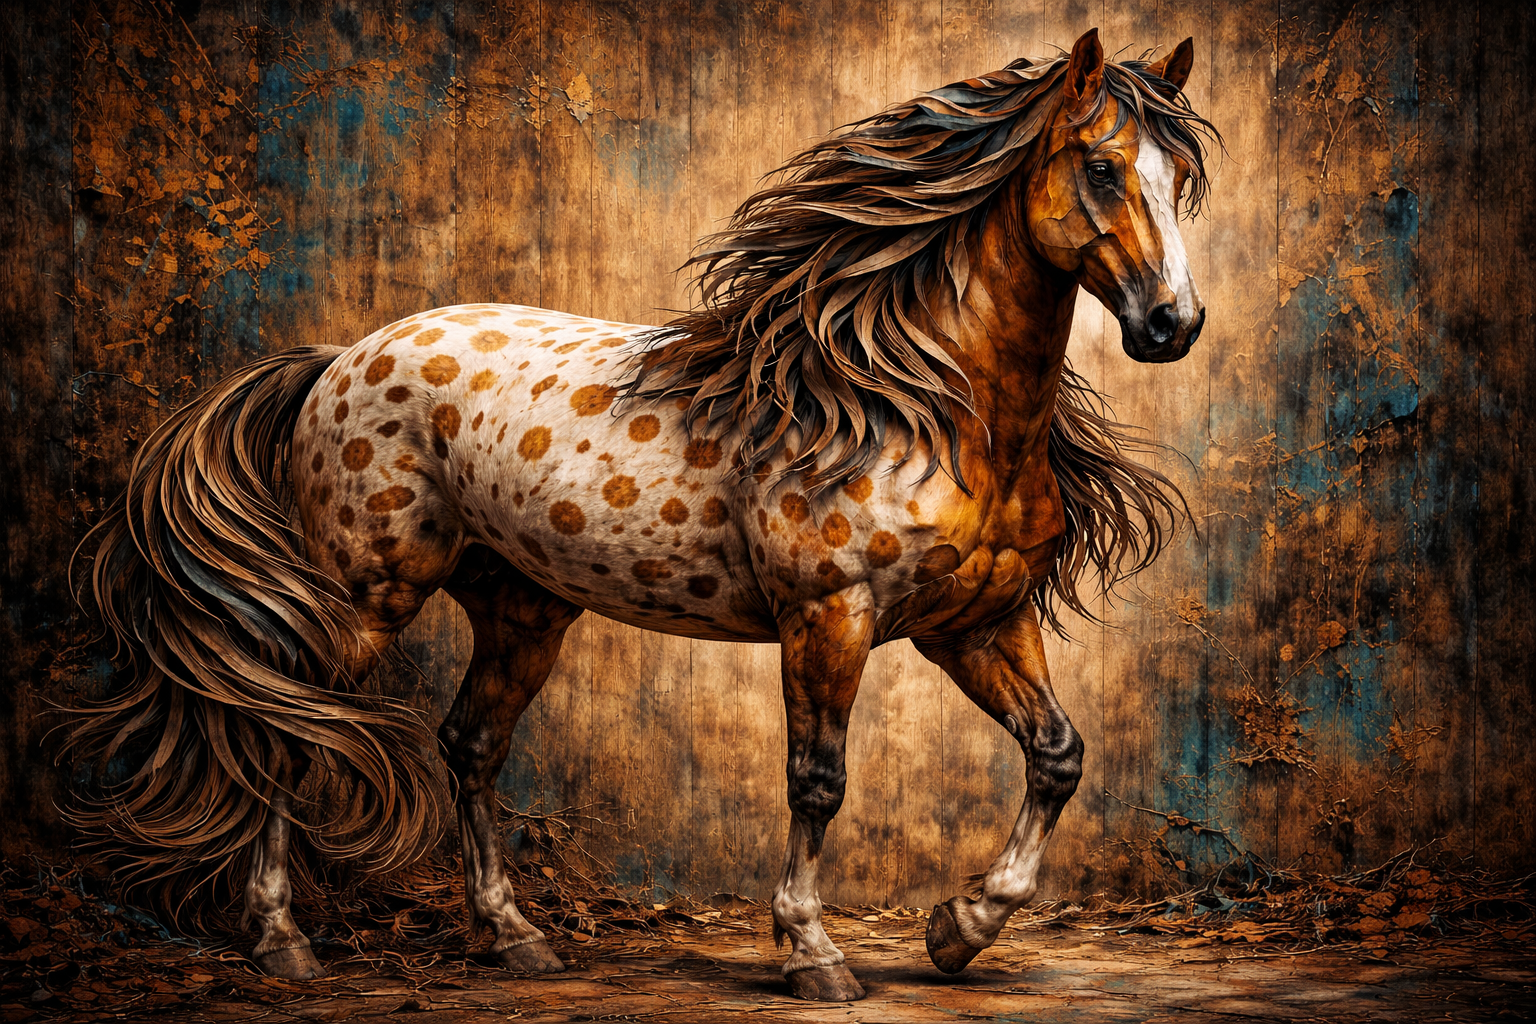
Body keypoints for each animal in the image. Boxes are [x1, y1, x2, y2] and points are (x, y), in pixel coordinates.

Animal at [68, 29, 1213, 1002]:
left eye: (1183, 179)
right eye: (1102, 168)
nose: (1174, 324)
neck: (910, 401)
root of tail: (335, 360)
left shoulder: (977, 622)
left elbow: (1058, 755)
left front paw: (959, 929)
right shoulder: (829, 617)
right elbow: (817, 782)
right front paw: (812, 954)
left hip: (521, 608)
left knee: (469, 745)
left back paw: (512, 938)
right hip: (365, 597)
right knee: (290, 734)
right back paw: (282, 942)